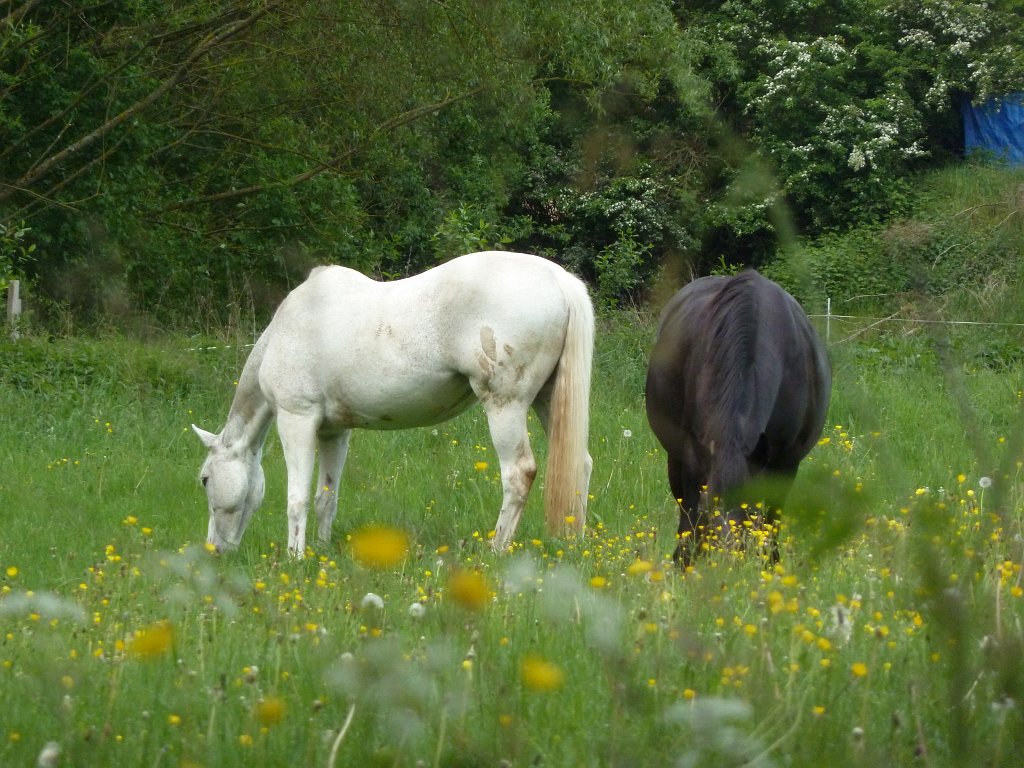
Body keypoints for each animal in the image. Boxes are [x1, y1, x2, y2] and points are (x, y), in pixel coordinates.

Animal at [192, 251, 594, 556]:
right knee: (580, 463)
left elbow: (297, 499)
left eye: (205, 479)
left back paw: (495, 549)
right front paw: (321, 552)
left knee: (518, 473)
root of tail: (560, 280)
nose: (214, 549)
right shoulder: (333, 432)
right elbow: (326, 498)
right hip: (547, 400)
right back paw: (574, 543)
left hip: (504, 405)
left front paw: (296, 558)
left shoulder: (297, 419)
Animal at [644, 270, 830, 563]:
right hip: (675, 458)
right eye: (709, 511)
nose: (725, 565)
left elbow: (771, 523)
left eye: (745, 518)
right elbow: (690, 521)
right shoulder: (693, 461)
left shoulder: (785, 465)